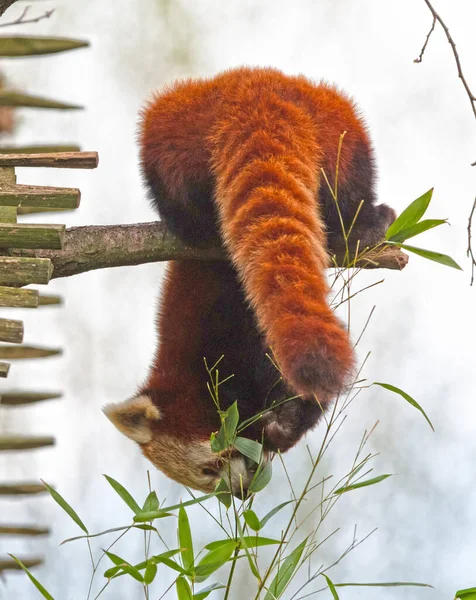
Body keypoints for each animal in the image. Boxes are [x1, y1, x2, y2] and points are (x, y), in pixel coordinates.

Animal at [105, 67, 398, 496]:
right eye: (208, 478)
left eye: (209, 468)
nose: (241, 492)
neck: (190, 367)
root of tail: (254, 89)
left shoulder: (223, 333)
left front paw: (279, 425)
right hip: (338, 131)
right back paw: (364, 227)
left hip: (169, 131)